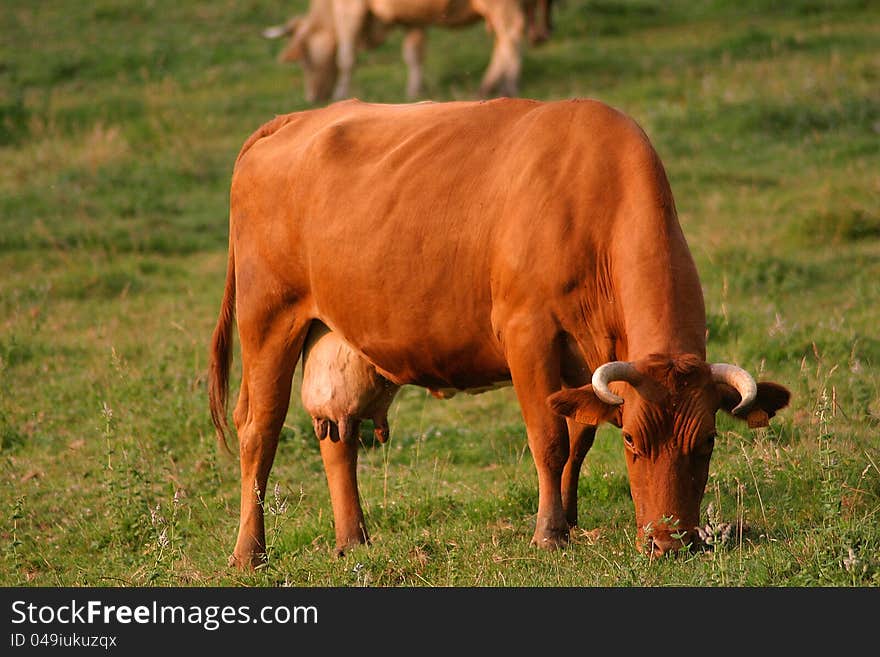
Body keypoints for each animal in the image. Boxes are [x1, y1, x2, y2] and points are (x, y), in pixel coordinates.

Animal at [211, 97, 792, 568]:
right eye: (631, 439)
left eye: (710, 440)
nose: (670, 544)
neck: (593, 198)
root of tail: (295, 119)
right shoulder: (527, 334)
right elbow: (549, 439)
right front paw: (549, 533)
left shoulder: (583, 365)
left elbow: (578, 436)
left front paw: (571, 521)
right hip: (268, 318)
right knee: (259, 432)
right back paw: (249, 553)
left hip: (334, 334)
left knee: (338, 431)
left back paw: (352, 540)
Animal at [260, 0, 524, 102]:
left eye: (305, 60)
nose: (313, 98)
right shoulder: (413, 19)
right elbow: (414, 54)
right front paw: (414, 91)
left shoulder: (350, 7)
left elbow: (346, 56)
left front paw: (341, 93)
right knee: (503, 41)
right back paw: (491, 87)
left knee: (511, 35)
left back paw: (507, 86)